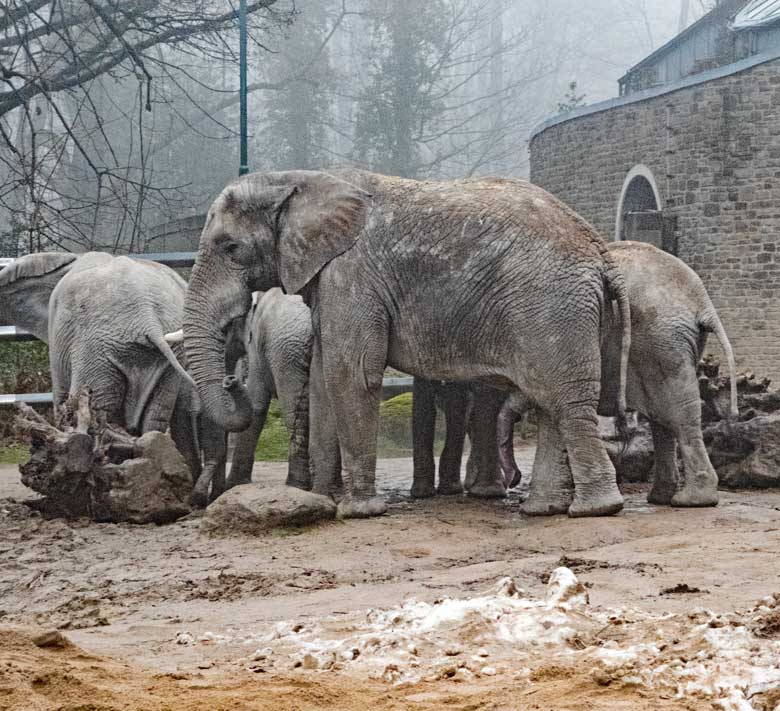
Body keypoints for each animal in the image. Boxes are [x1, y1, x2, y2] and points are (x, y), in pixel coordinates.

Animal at [180, 170, 632, 520]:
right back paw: (544, 509)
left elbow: (352, 374)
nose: (233, 381)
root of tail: (601, 251)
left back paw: (595, 509)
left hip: (551, 306)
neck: (298, 179)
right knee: (550, 403)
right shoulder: (329, 281)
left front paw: (359, 512)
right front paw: (320, 502)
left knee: (564, 400)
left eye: (230, 247)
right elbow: (324, 380)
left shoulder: (352, 276)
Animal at [500, 242, 736, 516]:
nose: (513, 479)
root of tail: (701, 301)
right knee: (663, 418)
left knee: (676, 415)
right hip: (671, 344)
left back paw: (690, 501)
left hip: (661, 343)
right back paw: (662, 498)